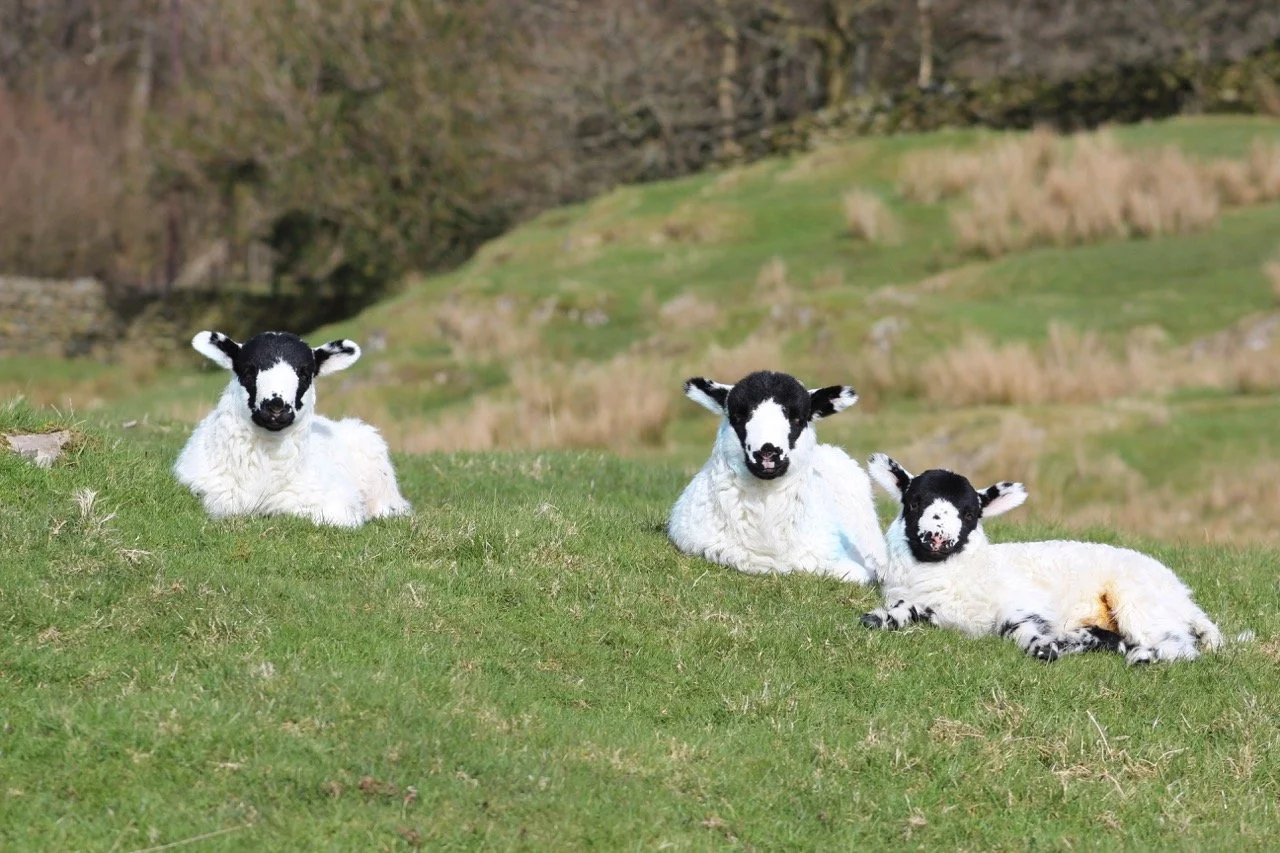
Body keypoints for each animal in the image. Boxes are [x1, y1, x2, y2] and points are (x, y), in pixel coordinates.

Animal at [861, 453, 1222, 664]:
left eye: (969, 513)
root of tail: (1185, 599)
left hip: (1139, 601)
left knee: (1179, 645)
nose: (937, 538)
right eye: (914, 503)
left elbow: (1018, 627)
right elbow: (904, 611)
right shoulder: (919, 602)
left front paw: (1042, 649)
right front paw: (877, 619)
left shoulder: (1020, 600)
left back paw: (1143, 657)